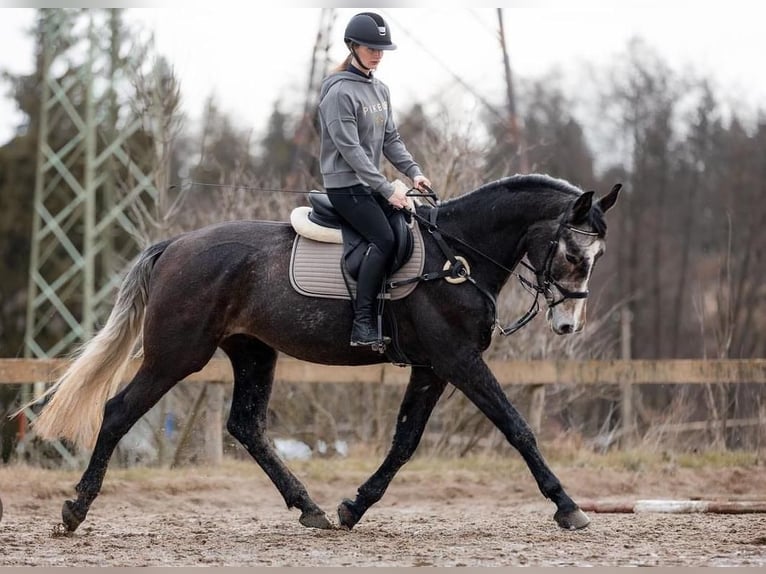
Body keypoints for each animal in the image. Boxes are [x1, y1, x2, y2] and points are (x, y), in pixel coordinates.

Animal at [22, 174, 624, 536]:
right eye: (573, 253)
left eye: (598, 256)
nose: (567, 325)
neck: (456, 255)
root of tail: (176, 245)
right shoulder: (458, 361)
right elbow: (516, 426)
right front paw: (567, 506)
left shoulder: (432, 368)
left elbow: (404, 442)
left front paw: (353, 507)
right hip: (176, 355)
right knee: (119, 412)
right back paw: (74, 510)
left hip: (253, 352)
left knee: (246, 426)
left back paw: (309, 509)